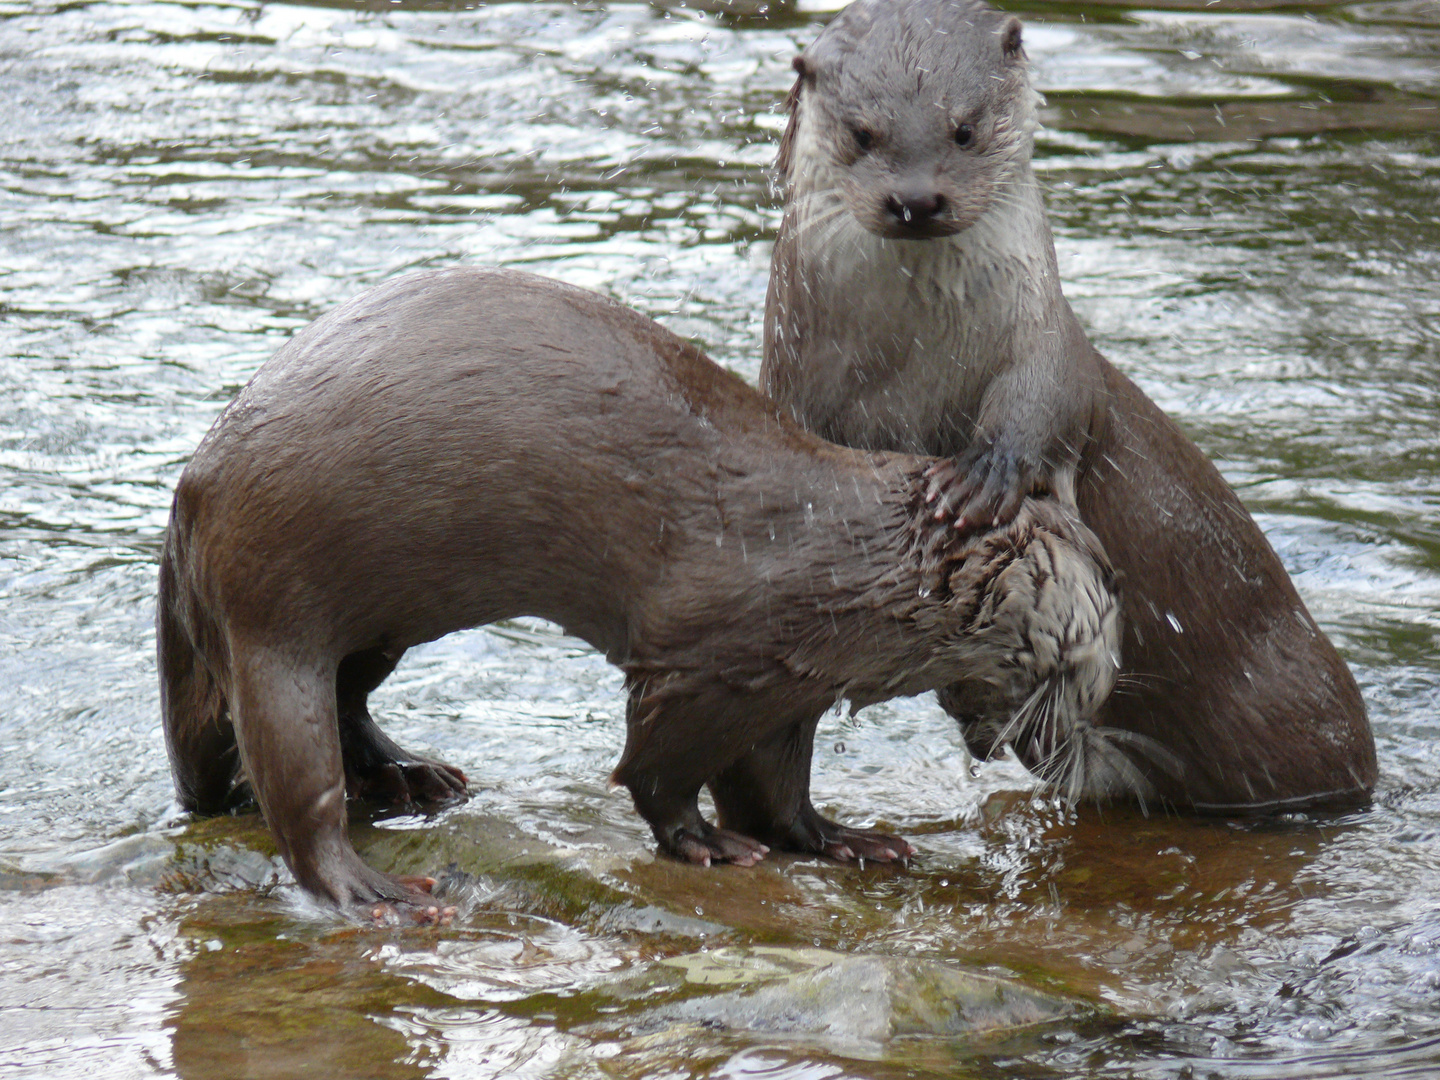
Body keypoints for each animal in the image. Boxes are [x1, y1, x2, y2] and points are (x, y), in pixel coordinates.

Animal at [160, 264, 1123, 915]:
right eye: (1107, 605)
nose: (1093, 710)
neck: (838, 556)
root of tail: (194, 484)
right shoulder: (708, 660)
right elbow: (659, 769)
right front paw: (704, 843)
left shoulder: (789, 679)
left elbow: (775, 788)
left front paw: (843, 840)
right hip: (275, 606)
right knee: (297, 779)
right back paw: (370, 890)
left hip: (386, 616)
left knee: (350, 697)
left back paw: (412, 777)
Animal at [760, 0, 1376, 812]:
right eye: (862, 133)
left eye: (964, 128)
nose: (917, 199)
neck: (913, 365)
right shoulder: (792, 379)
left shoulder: (1045, 340)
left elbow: (1044, 402)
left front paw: (983, 476)